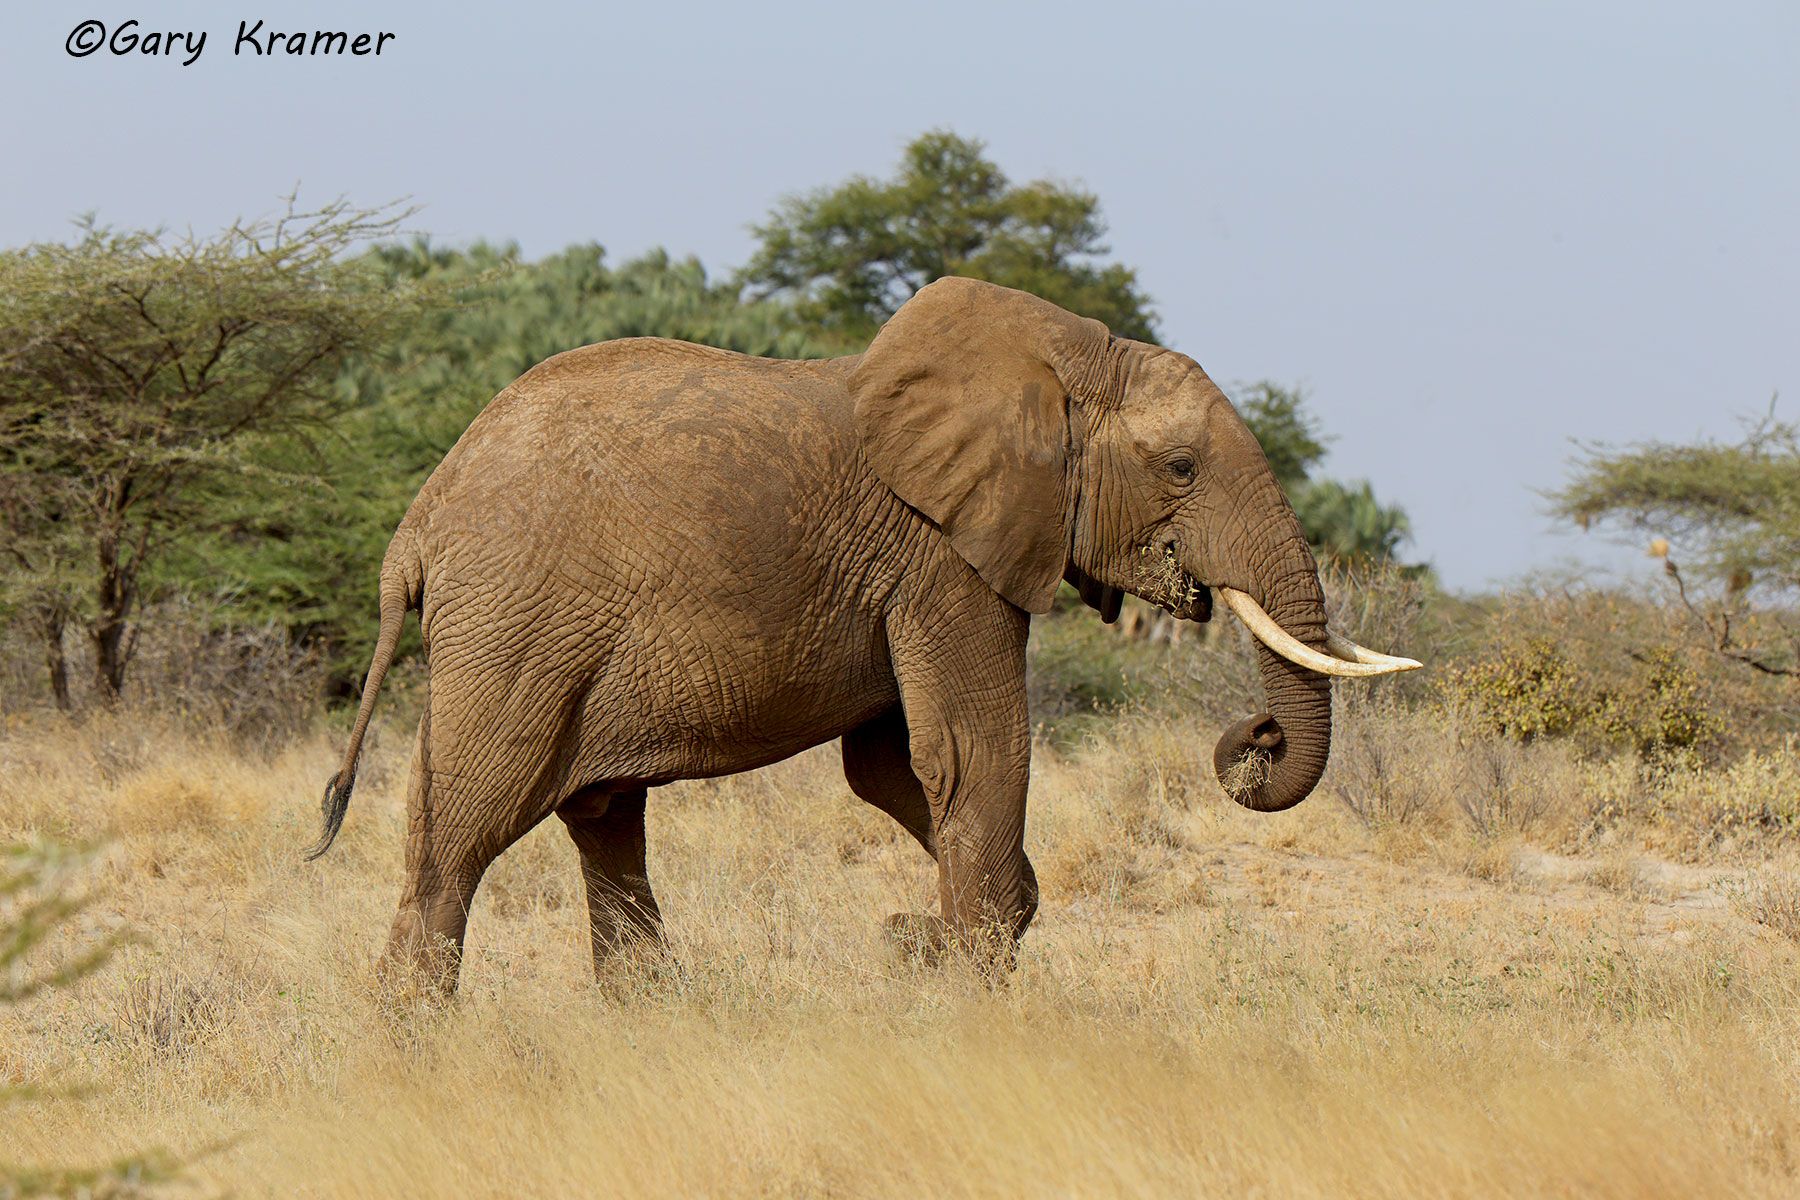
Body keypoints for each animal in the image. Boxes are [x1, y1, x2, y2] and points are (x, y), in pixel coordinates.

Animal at [308, 276, 1418, 992]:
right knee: (461, 835)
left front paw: (928, 943)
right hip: (518, 630)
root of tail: (415, 526)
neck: (1060, 356)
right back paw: (413, 1058)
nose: (1254, 737)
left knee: (605, 826)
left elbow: (892, 769)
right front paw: (967, 989)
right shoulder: (942, 559)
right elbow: (969, 753)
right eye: (1182, 467)